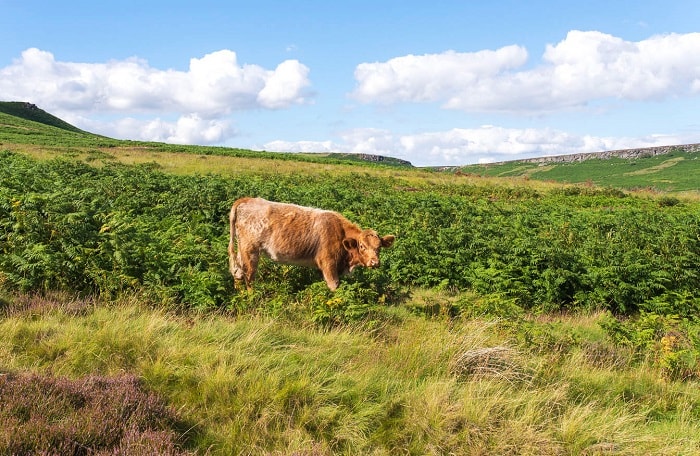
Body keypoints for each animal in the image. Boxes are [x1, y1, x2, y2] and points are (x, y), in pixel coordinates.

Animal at [228, 197, 394, 290]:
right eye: (362, 246)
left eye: (379, 247)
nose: (375, 262)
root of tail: (247, 199)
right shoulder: (328, 263)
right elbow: (334, 286)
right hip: (250, 251)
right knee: (248, 276)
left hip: (243, 250)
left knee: (237, 273)